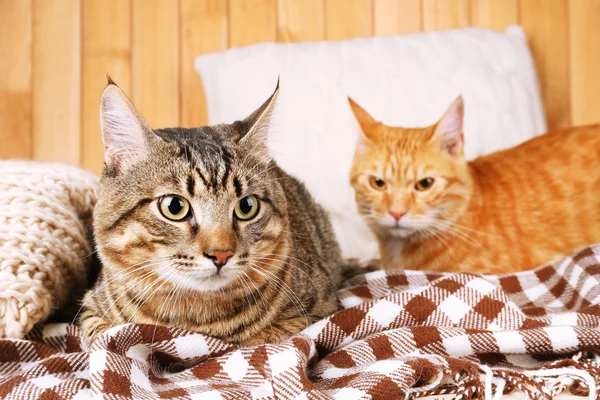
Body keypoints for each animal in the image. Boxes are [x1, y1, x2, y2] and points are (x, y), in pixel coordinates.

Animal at [80, 80, 344, 344]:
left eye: (247, 206)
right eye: (174, 207)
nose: (221, 254)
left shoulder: (323, 307)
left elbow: (269, 336)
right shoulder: (89, 309)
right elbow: (98, 335)